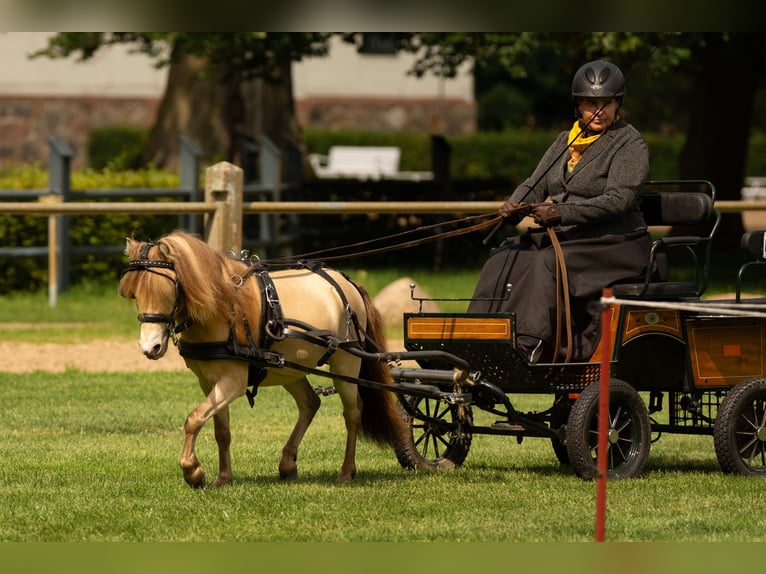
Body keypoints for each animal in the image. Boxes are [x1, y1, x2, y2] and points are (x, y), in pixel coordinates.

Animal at [118, 230, 411, 488]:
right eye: (135, 294)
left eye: (166, 289)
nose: (150, 346)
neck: (221, 310)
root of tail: (347, 283)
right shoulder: (209, 381)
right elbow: (220, 431)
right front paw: (223, 478)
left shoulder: (233, 381)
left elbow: (194, 419)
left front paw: (193, 472)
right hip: (289, 368)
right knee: (310, 404)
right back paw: (288, 464)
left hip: (346, 362)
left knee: (353, 413)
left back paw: (346, 471)